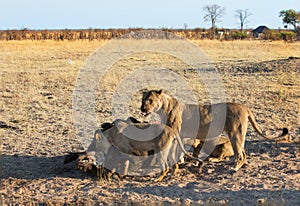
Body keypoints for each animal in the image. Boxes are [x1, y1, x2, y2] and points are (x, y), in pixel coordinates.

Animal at [141, 89, 288, 171]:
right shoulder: (180, 135)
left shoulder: (176, 133)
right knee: (243, 153)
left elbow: (175, 150)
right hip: (238, 135)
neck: (162, 108)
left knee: (240, 154)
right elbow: (180, 150)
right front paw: (182, 161)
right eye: (142, 100)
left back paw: (234, 168)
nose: (142, 109)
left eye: (150, 100)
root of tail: (245, 107)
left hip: (235, 134)